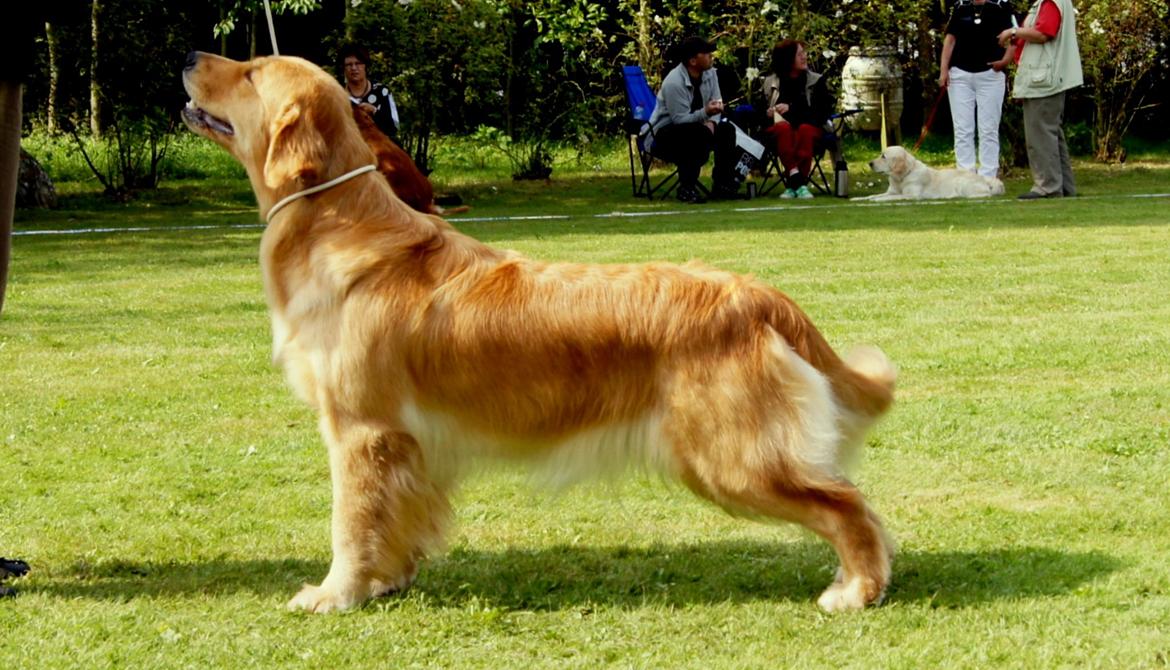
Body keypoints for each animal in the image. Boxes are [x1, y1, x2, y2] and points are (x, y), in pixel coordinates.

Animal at [180, 52, 893, 612]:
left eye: (250, 72)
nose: (189, 56)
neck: (337, 219)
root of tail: (755, 293)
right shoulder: (405, 447)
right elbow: (396, 520)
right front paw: (387, 581)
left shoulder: (362, 429)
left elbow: (350, 523)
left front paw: (337, 593)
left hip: (734, 458)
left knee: (850, 506)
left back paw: (857, 589)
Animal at [861, 144, 1006, 199]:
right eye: (880, 154)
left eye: (883, 157)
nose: (870, 163)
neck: (902, 177)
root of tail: (985, 180)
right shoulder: (891, 191)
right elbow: (875, 195)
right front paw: (864, 198)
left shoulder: (911, 196)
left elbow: (891, 197)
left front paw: (877, 200)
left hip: (961, 182)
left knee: (985, 194)